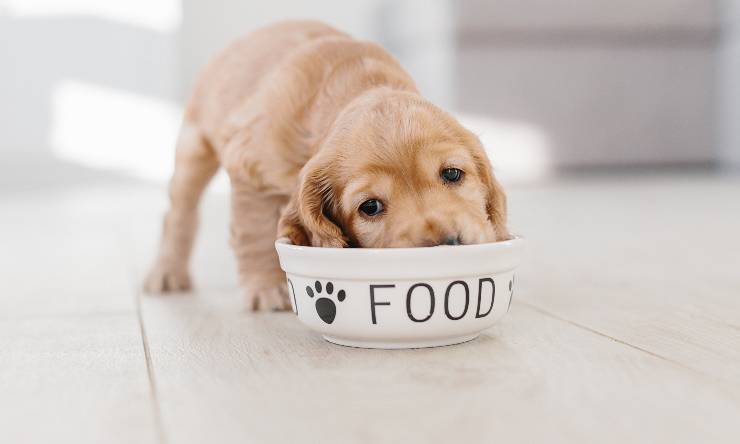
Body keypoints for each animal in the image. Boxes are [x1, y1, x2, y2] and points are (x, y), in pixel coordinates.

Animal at [147, 20, 512, 310]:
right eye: (370, 207)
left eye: (452, 173)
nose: (448, 243)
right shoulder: (250, 169)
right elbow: (255, 231)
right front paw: (266, 288)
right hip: (194, 147)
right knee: (178, 213)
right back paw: (167, 272)